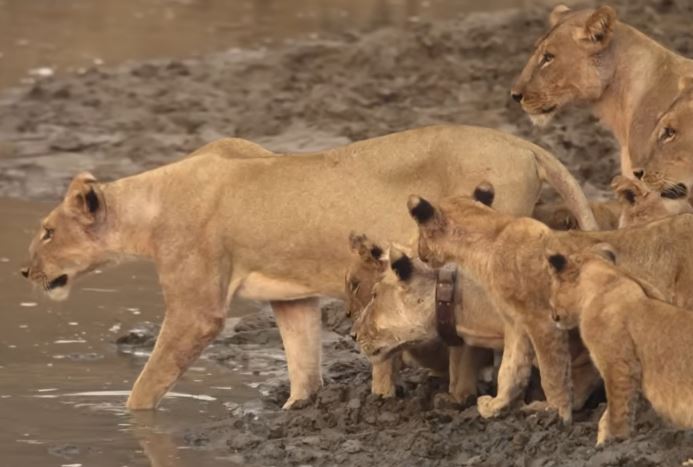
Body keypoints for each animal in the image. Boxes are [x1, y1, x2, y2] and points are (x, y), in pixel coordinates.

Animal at [19, 125, 598, 411]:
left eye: (47, 231)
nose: (25, 273)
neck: (150, 204)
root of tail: (522, 141)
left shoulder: (197, 310)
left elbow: (149, 381)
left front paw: (127, 419)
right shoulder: (290, 296)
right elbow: (301, 359)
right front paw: (296, 407)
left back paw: (463, 394)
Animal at [406, 183, 693, 423]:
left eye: (419, 234)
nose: (419, 252)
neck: (490, 240)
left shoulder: (542, 321)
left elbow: (551, 374)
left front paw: (553, 414)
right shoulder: (516, 323)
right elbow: (510, 370)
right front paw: (495, 406)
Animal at [547, 245, 693, 445]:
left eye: (551, 290)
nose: (552, 315)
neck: (612, 278)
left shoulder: (619, 367)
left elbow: (617, 410)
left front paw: (617, 442)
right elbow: (608, 414)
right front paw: (602, 441)